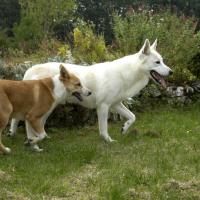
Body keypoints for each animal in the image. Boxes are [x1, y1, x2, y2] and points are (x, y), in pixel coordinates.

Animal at [9, 39, 172, 142]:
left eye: (163, 61)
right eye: (157, 62)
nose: (171, 72)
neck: (127, 72)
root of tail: (31, 69)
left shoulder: (116, 104)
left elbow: (132, 117)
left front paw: (124, 129)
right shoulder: (103, 107)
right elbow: (103, 129)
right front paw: (108, 141)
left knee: (28, 121)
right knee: (25, 120)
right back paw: (29, 138)